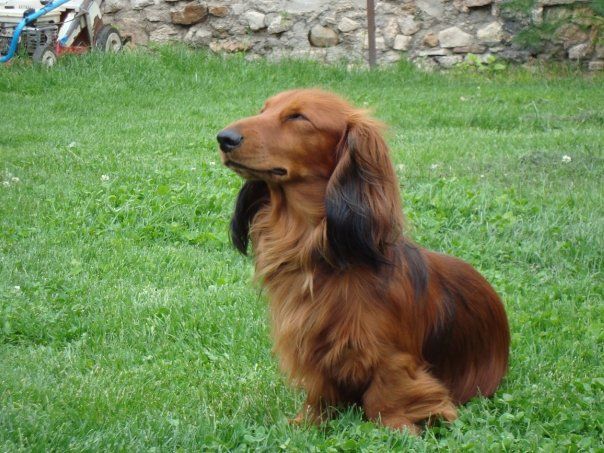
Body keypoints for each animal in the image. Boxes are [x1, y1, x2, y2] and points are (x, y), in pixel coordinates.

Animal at [217, 89, 510, 434]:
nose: (224, 138)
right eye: (263, 110)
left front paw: (398, 427)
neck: (316, 251)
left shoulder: (391, 356)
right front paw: (307, 421)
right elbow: (320, 392)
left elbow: (387, 393)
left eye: (298, 117)